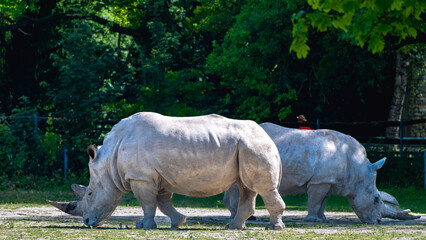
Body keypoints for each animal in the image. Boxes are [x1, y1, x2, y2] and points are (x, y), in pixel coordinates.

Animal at [47, 113, 286, 230]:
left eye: (89, 194)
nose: (87, 222)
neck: (109, 161)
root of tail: (268, 137)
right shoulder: (158, 176)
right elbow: (162, 203)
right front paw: (178, 222)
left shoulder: (141, 176)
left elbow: (147, 203)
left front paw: (143, 226)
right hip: (247, 147)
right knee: (247, 186)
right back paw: (233, 227)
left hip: (253, 146)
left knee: (261, 187)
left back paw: (273, 228)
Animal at [223, 123, 420, 224]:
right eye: (376, 199)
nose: (378, 222)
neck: (357, 170)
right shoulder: (319, 181)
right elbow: (315, 200)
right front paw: (312, 220)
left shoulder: (327, 181)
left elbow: (322, 202)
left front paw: (322, 218)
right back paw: (245, 218)